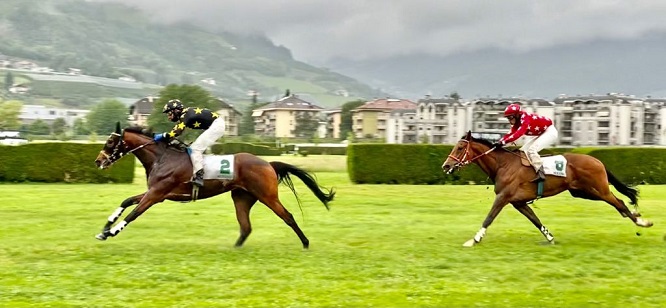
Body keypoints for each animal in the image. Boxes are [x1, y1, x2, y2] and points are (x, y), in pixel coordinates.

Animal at [93, 123, 332, 248]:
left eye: (110, 142)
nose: (98, 161)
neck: (163, 157)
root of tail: (268, 163)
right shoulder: (155, 192)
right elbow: (126, 201)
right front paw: (105, 227)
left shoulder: (156, 194)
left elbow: (133, 214)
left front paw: (111, 232)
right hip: (242, 197)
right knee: (246, 227)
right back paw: (234, 248)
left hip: (267, 196)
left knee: (287, 216)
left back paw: (305, 243)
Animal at [438, 131, 652, 247]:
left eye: (459, 148)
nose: (446, 166)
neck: (502, 164)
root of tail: (597, 160)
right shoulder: (518, 202)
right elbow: (535, 220)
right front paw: (550, 238)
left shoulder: (504, 197)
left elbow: (489, 218)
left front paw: (473, 240)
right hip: (583, 192)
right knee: (618, 202)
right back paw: (637, 217)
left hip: (598, 189)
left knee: (619, 202)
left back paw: (641, 222)